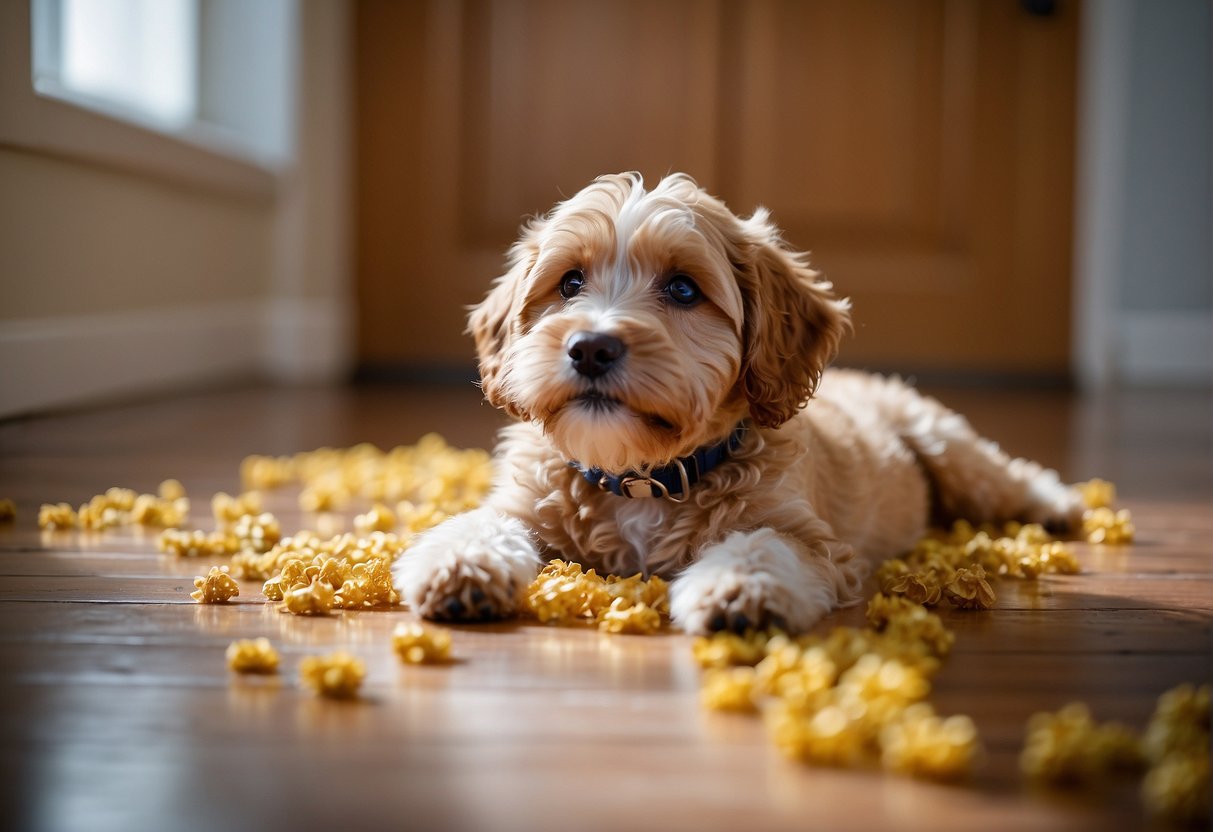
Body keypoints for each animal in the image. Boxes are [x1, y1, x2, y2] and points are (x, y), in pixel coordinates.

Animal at [393, 172, 1086, 635]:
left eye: (682, 288)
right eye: (569, 283)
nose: (590, 348)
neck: (641, 477)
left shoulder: (807, 536)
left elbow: (761, 545)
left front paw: (738, 588)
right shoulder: (523, 502)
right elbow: (479, 522)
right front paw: (461, 565)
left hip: (945, 442)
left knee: (1004, 475)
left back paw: (1058, 504)